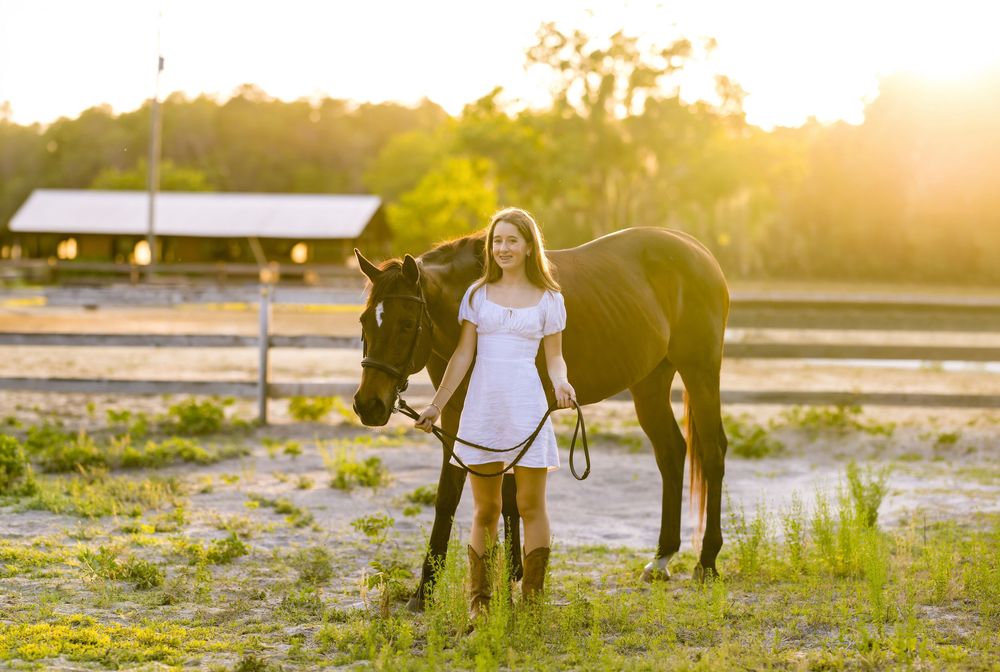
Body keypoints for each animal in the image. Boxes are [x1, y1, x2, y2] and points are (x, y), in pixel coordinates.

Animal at [352, 226, 729, 610]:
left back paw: (707, 562)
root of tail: (697, 250)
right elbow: (476, 496)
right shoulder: (461, 416)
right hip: (650, 383)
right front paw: (485, 578)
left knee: (713, 456)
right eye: (365, 320)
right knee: (671, 454)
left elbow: (491, 495)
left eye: (406, 324)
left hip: (700, 372)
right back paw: (662, 558)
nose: (368, 405)